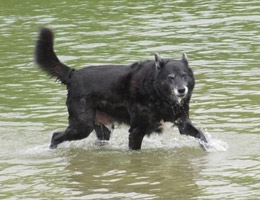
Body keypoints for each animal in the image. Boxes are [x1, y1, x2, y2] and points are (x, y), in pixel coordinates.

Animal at [34, 27, 209, 150]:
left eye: (184, 75)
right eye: (170, 77)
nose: (182, 90)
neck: (157, 94)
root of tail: (73, 74)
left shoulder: (183, 123)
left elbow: (201, 136)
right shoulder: (137, 130)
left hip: (101, 129)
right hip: (82, 126)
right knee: (55, 136)